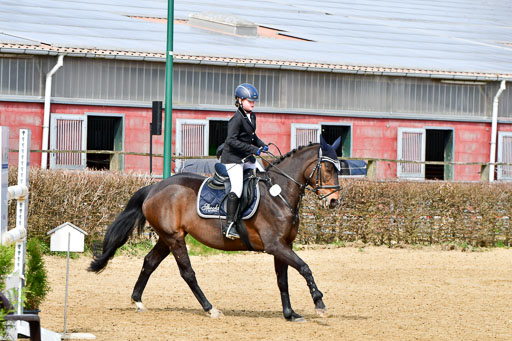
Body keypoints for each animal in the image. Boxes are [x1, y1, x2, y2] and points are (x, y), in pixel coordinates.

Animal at [89, 136, 342, 322]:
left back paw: (138, 300)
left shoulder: (283, 246)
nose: (333, 202)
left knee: (149, 262)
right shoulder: (275, 246)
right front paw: (319, 304)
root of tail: (155, 187)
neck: (278, 194)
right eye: (327, 168)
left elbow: (283, 280)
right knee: (188, 273)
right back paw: (210, 308)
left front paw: (290, 314)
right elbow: (305, 268)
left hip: (166, 238)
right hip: (174, 239)